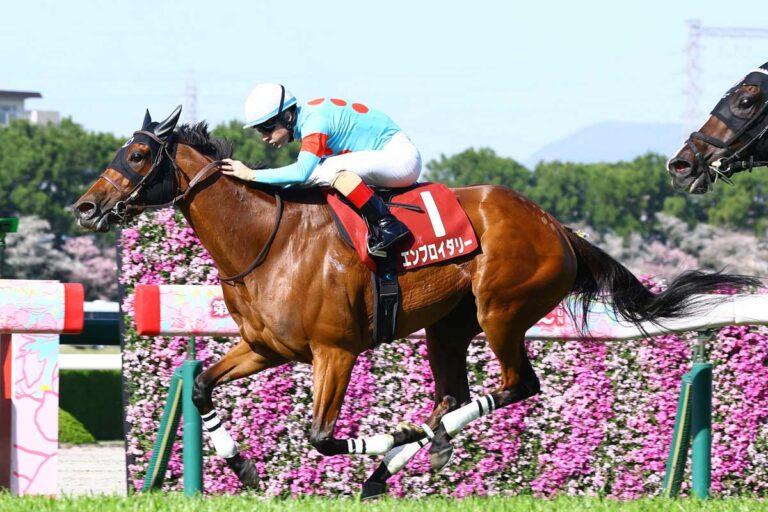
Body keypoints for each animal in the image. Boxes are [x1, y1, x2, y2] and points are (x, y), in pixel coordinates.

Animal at [73, 106, 758, 498]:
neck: (268, 239)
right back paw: (399, 460)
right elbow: (201, 388)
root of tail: (556, 226)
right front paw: (241, 468)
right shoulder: (266, 346)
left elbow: (322, 438)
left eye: (138, 153)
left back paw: (407, 447)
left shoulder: (335, 351)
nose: (85, 206)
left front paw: (383, 440)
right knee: (454, 396)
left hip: (501, 311)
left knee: (516, 386)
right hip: (448, 328)